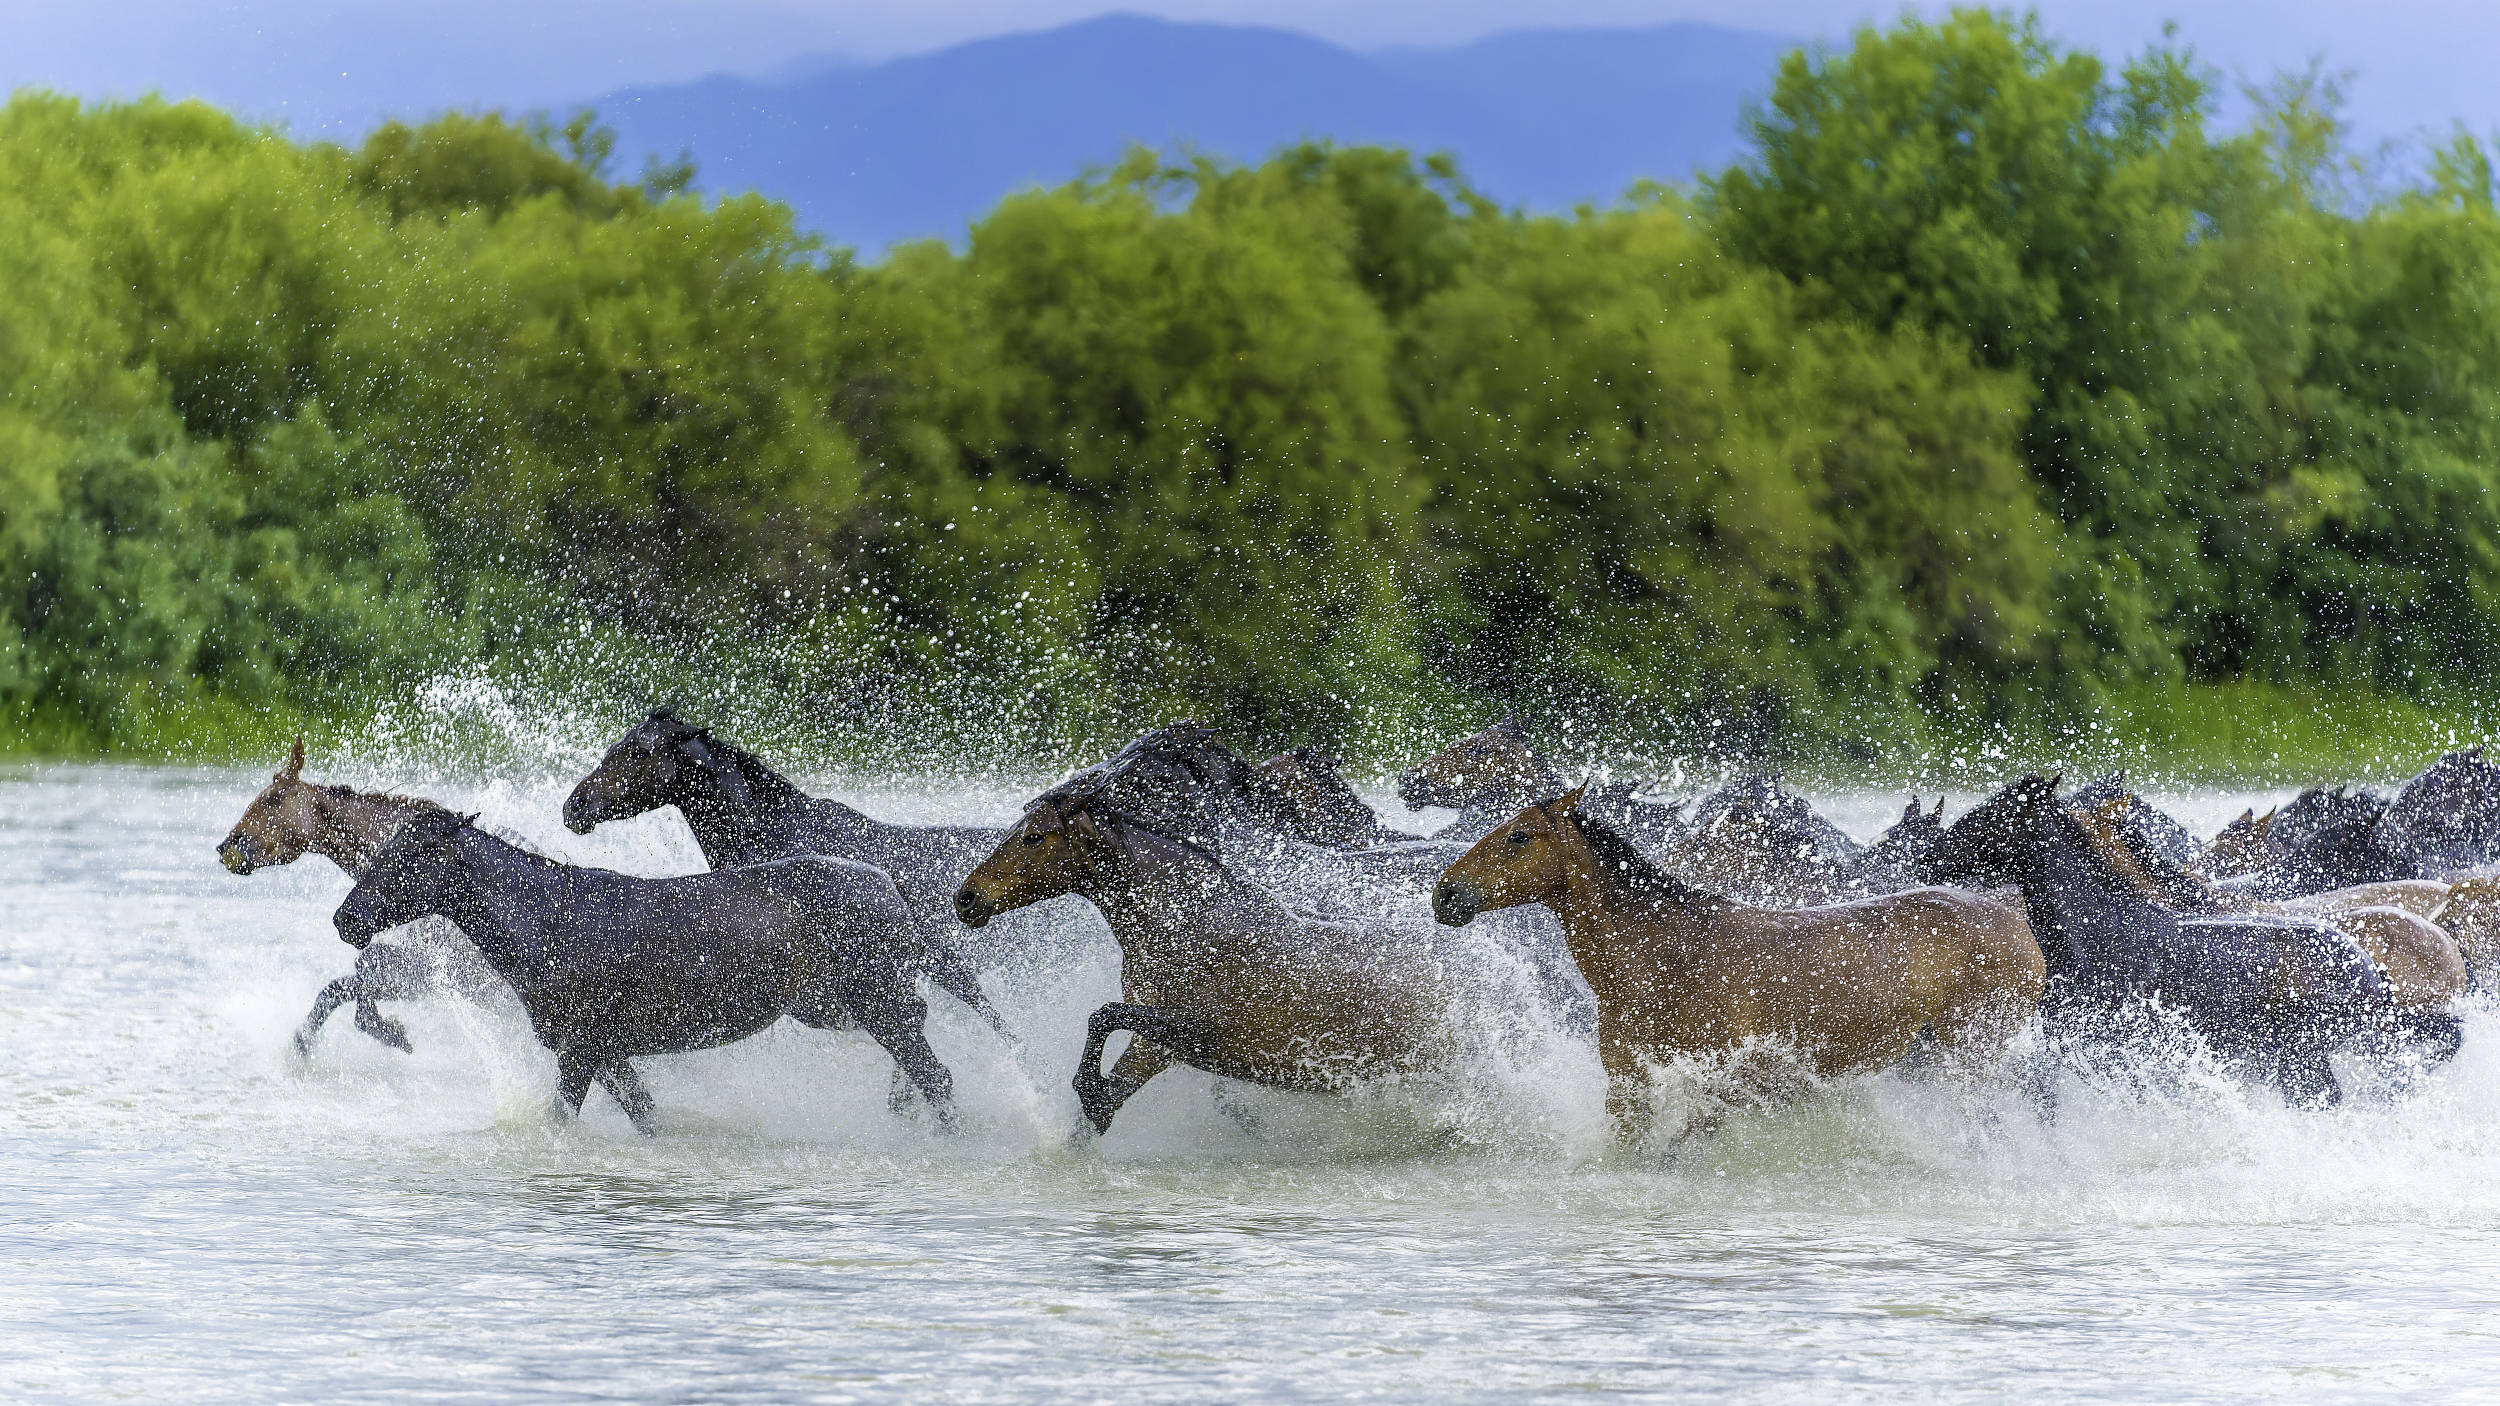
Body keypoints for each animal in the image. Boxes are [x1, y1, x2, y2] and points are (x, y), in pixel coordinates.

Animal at [218, 741, 503, 1057]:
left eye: (274, 798)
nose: (225, 847)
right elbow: (337, 988)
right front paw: (301, 1046)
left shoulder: (445, 973)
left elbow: (362, 972)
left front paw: (392, 1032)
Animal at [334, 810, 962, 1134]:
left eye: (405, 857)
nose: (345, 919)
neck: (546, 919)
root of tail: (889, 887)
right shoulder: (608, 1052)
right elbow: (646, 1116)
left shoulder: (581, 1049)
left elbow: (560, 1119)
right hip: (838, 1009)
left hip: (874, 1004)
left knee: (936, 1075)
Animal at [952, 769, 1503, 1137]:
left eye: (1033, 836)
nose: (966, 898)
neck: (1188, 923)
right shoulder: (1159, 1046)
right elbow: (1110, 1064)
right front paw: (1093, 1110)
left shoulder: (1196, 1032)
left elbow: (1102, 1015)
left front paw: (1087, 1094)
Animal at [1431, 787, 2045, 1138]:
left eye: (1519, 836)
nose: (1445, 893)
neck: (1665, 956)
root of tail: (2012, 908)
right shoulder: (1628, 1081)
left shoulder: (1719, 1083)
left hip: (1972, 1057)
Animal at [1917, 776, 2426, 1102]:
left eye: (1992, 814)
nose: (1930, 855)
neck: (2095, 930)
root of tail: (2372, 973)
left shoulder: (2110, 1049)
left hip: (2302, 1060)